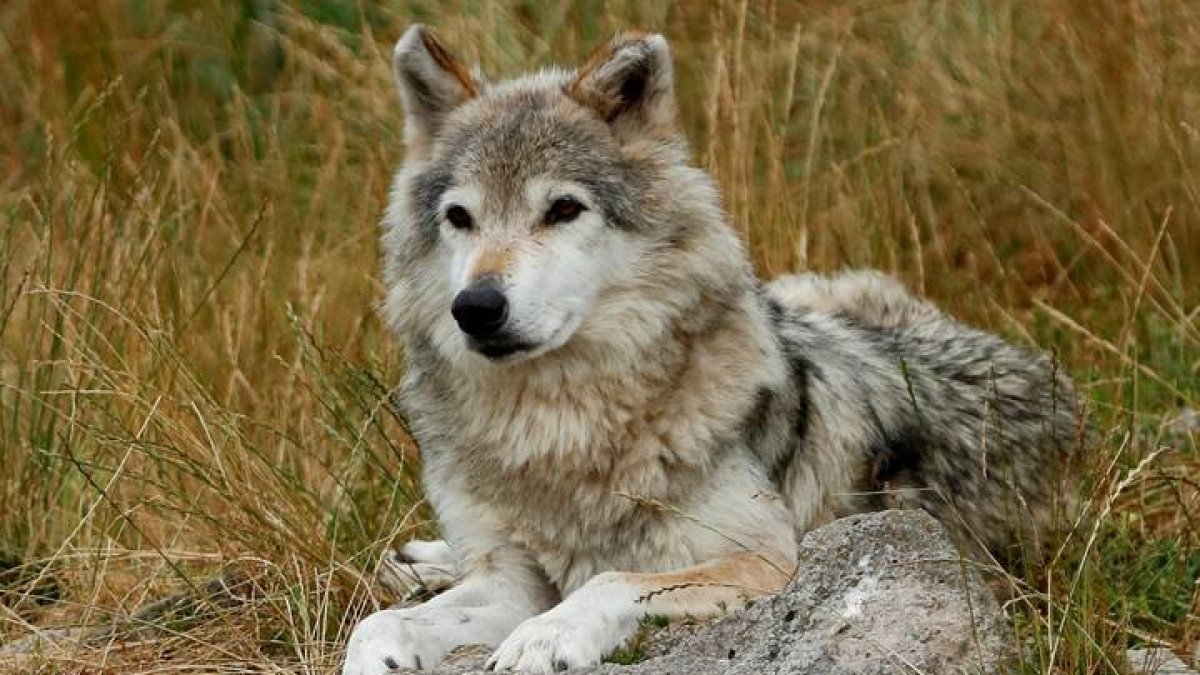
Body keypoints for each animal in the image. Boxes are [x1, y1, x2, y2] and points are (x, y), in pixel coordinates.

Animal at [343, 26, 1094, 672]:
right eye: (460, 218)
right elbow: (378, 624)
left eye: (562, 209)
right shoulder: (508, 578)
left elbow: (612, 580)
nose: (476, 308)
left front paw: (544, 638)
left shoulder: (769, 560)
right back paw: (423, 559)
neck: (560, 430)